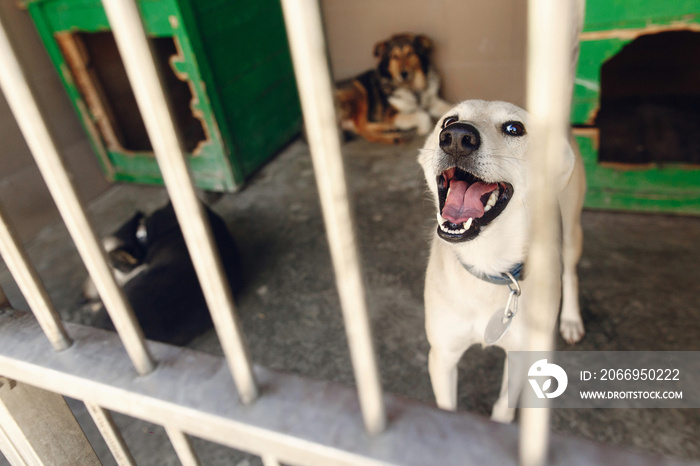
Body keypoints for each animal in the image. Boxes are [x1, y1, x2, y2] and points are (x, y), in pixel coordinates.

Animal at [418, 99, 588, 422]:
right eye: (448, 121)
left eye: (514, 128)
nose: (456, 137)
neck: (487, 260)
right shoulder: (442, 355)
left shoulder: (522, 357)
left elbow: (503, 408)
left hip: (572, 231)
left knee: (571, 274)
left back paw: (571, 319)